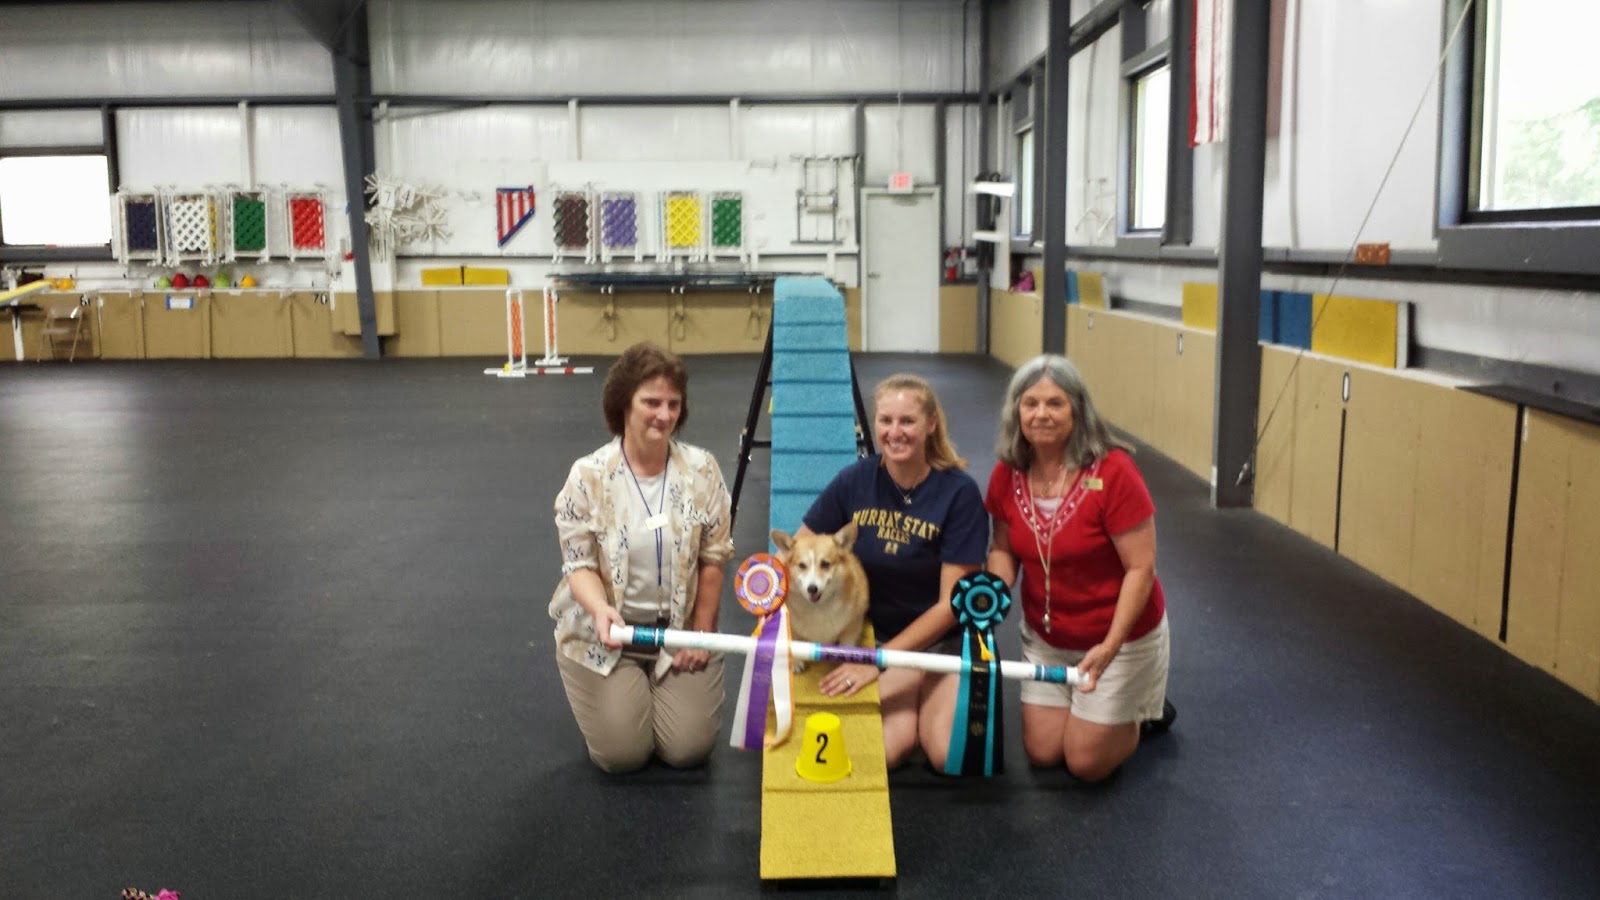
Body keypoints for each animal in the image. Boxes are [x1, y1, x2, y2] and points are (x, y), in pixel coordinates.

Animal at [770, 522, 871, 671]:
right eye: (802, 565)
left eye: (825, 564)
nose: (812, 589)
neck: (818, 607)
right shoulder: (792, 628)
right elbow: (794, 642)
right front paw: (797, 662)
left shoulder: (852, 626)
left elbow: (847, 645)